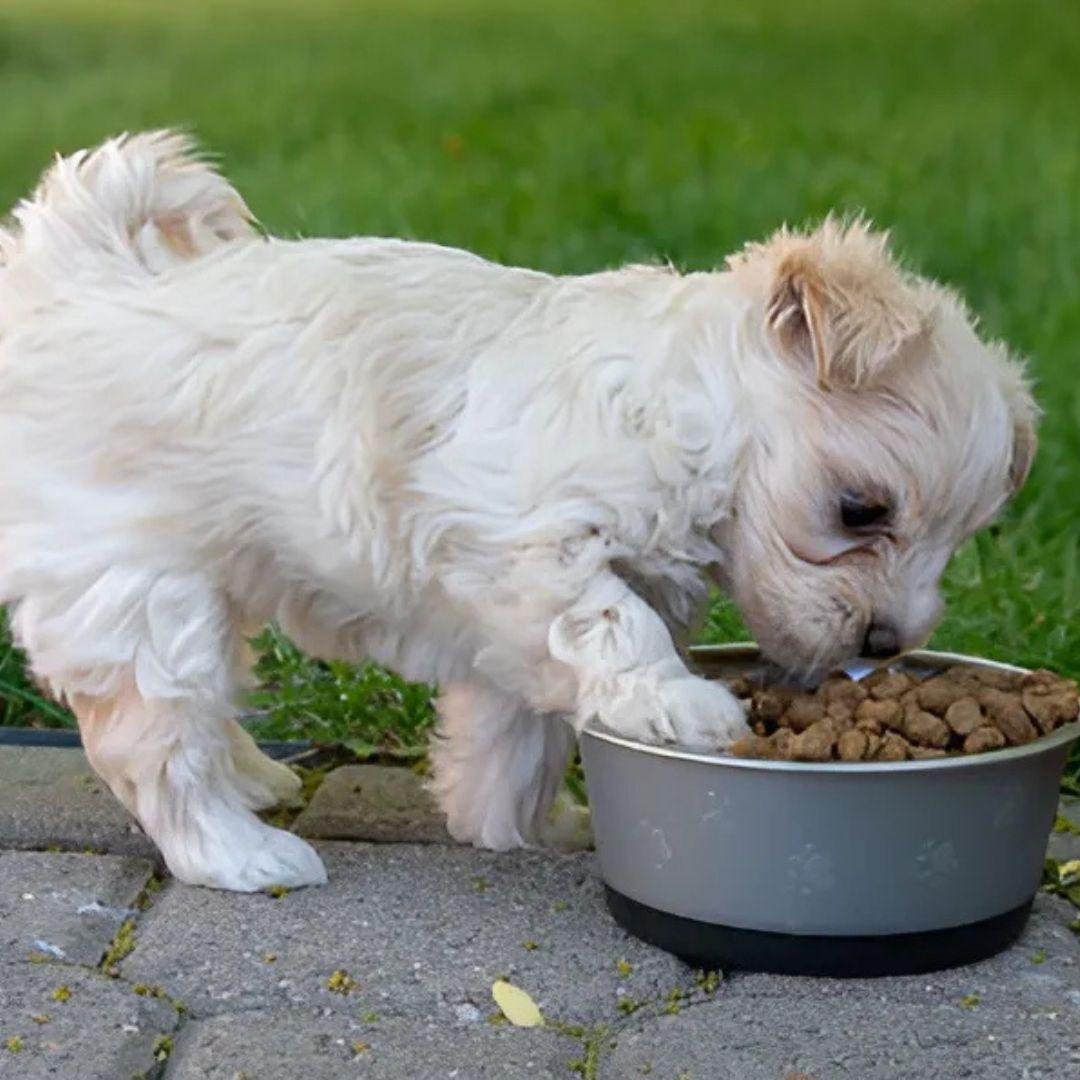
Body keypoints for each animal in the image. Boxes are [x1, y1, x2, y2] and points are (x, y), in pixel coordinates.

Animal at [0, 135, 1036, 889]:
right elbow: (613, 628)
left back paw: (254, 779)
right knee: (154, 738)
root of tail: (84, 280)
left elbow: (523, 732)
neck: (690, 411)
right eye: (862, 510)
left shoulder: (511, 621)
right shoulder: (528, 544)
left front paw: (521, 825)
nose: (887, 642)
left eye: (960, 538)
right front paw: (682, 706)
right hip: (138, 588)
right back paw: (239, 853)